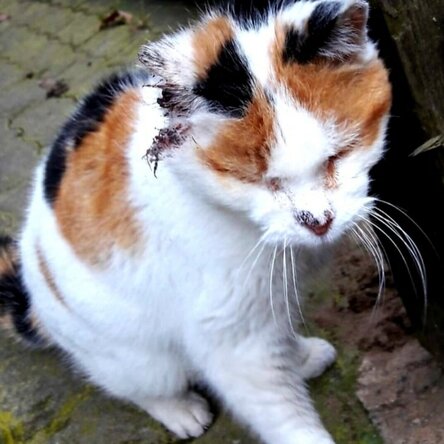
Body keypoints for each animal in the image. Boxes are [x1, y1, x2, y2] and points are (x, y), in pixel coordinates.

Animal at [0, 0, 390, 442]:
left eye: (338, 155)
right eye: (258, 180)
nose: (318, 221)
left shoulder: (267, 305)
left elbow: (280, 342)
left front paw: (298, 356)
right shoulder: (231, 339)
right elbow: (282, 413)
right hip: (135, 357)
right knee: (142, 386)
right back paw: (180, 410)